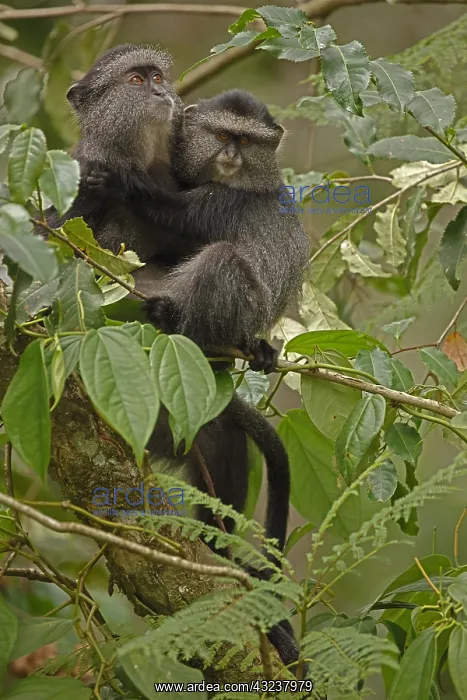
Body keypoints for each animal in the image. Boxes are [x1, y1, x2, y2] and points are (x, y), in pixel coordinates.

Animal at [43, 46, 301, 667]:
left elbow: (187, 220)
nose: (163, 93)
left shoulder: (217, 198)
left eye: (160, 78)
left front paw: (128, 185)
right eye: (139, 80)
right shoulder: (76, 172)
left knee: (225, 264)